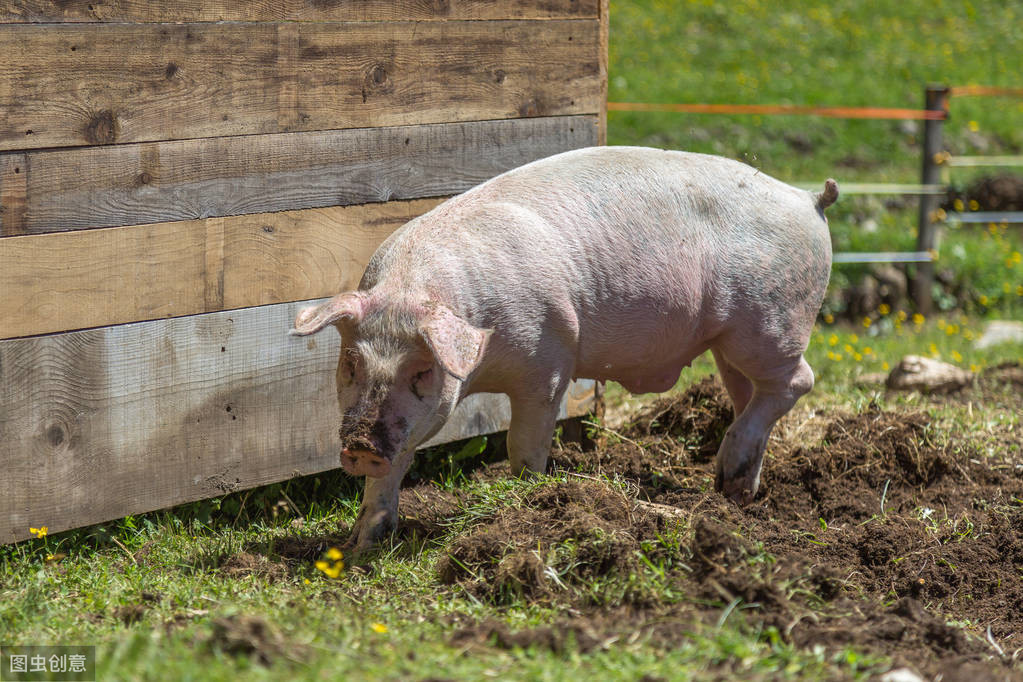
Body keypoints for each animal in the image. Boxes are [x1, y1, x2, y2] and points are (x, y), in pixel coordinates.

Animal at [292, 147, 834, 552]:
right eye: (351, 363)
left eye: (422, 372)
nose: (360, 446)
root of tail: (808, 198)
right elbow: (398, 462)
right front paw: (361, 545)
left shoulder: (547, 363)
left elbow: (524, 447)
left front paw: (527, 500)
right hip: (734, 344)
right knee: (750, 396)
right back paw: (734, 492)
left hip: (770, 321)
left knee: (797, 381)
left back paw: (731, 477)